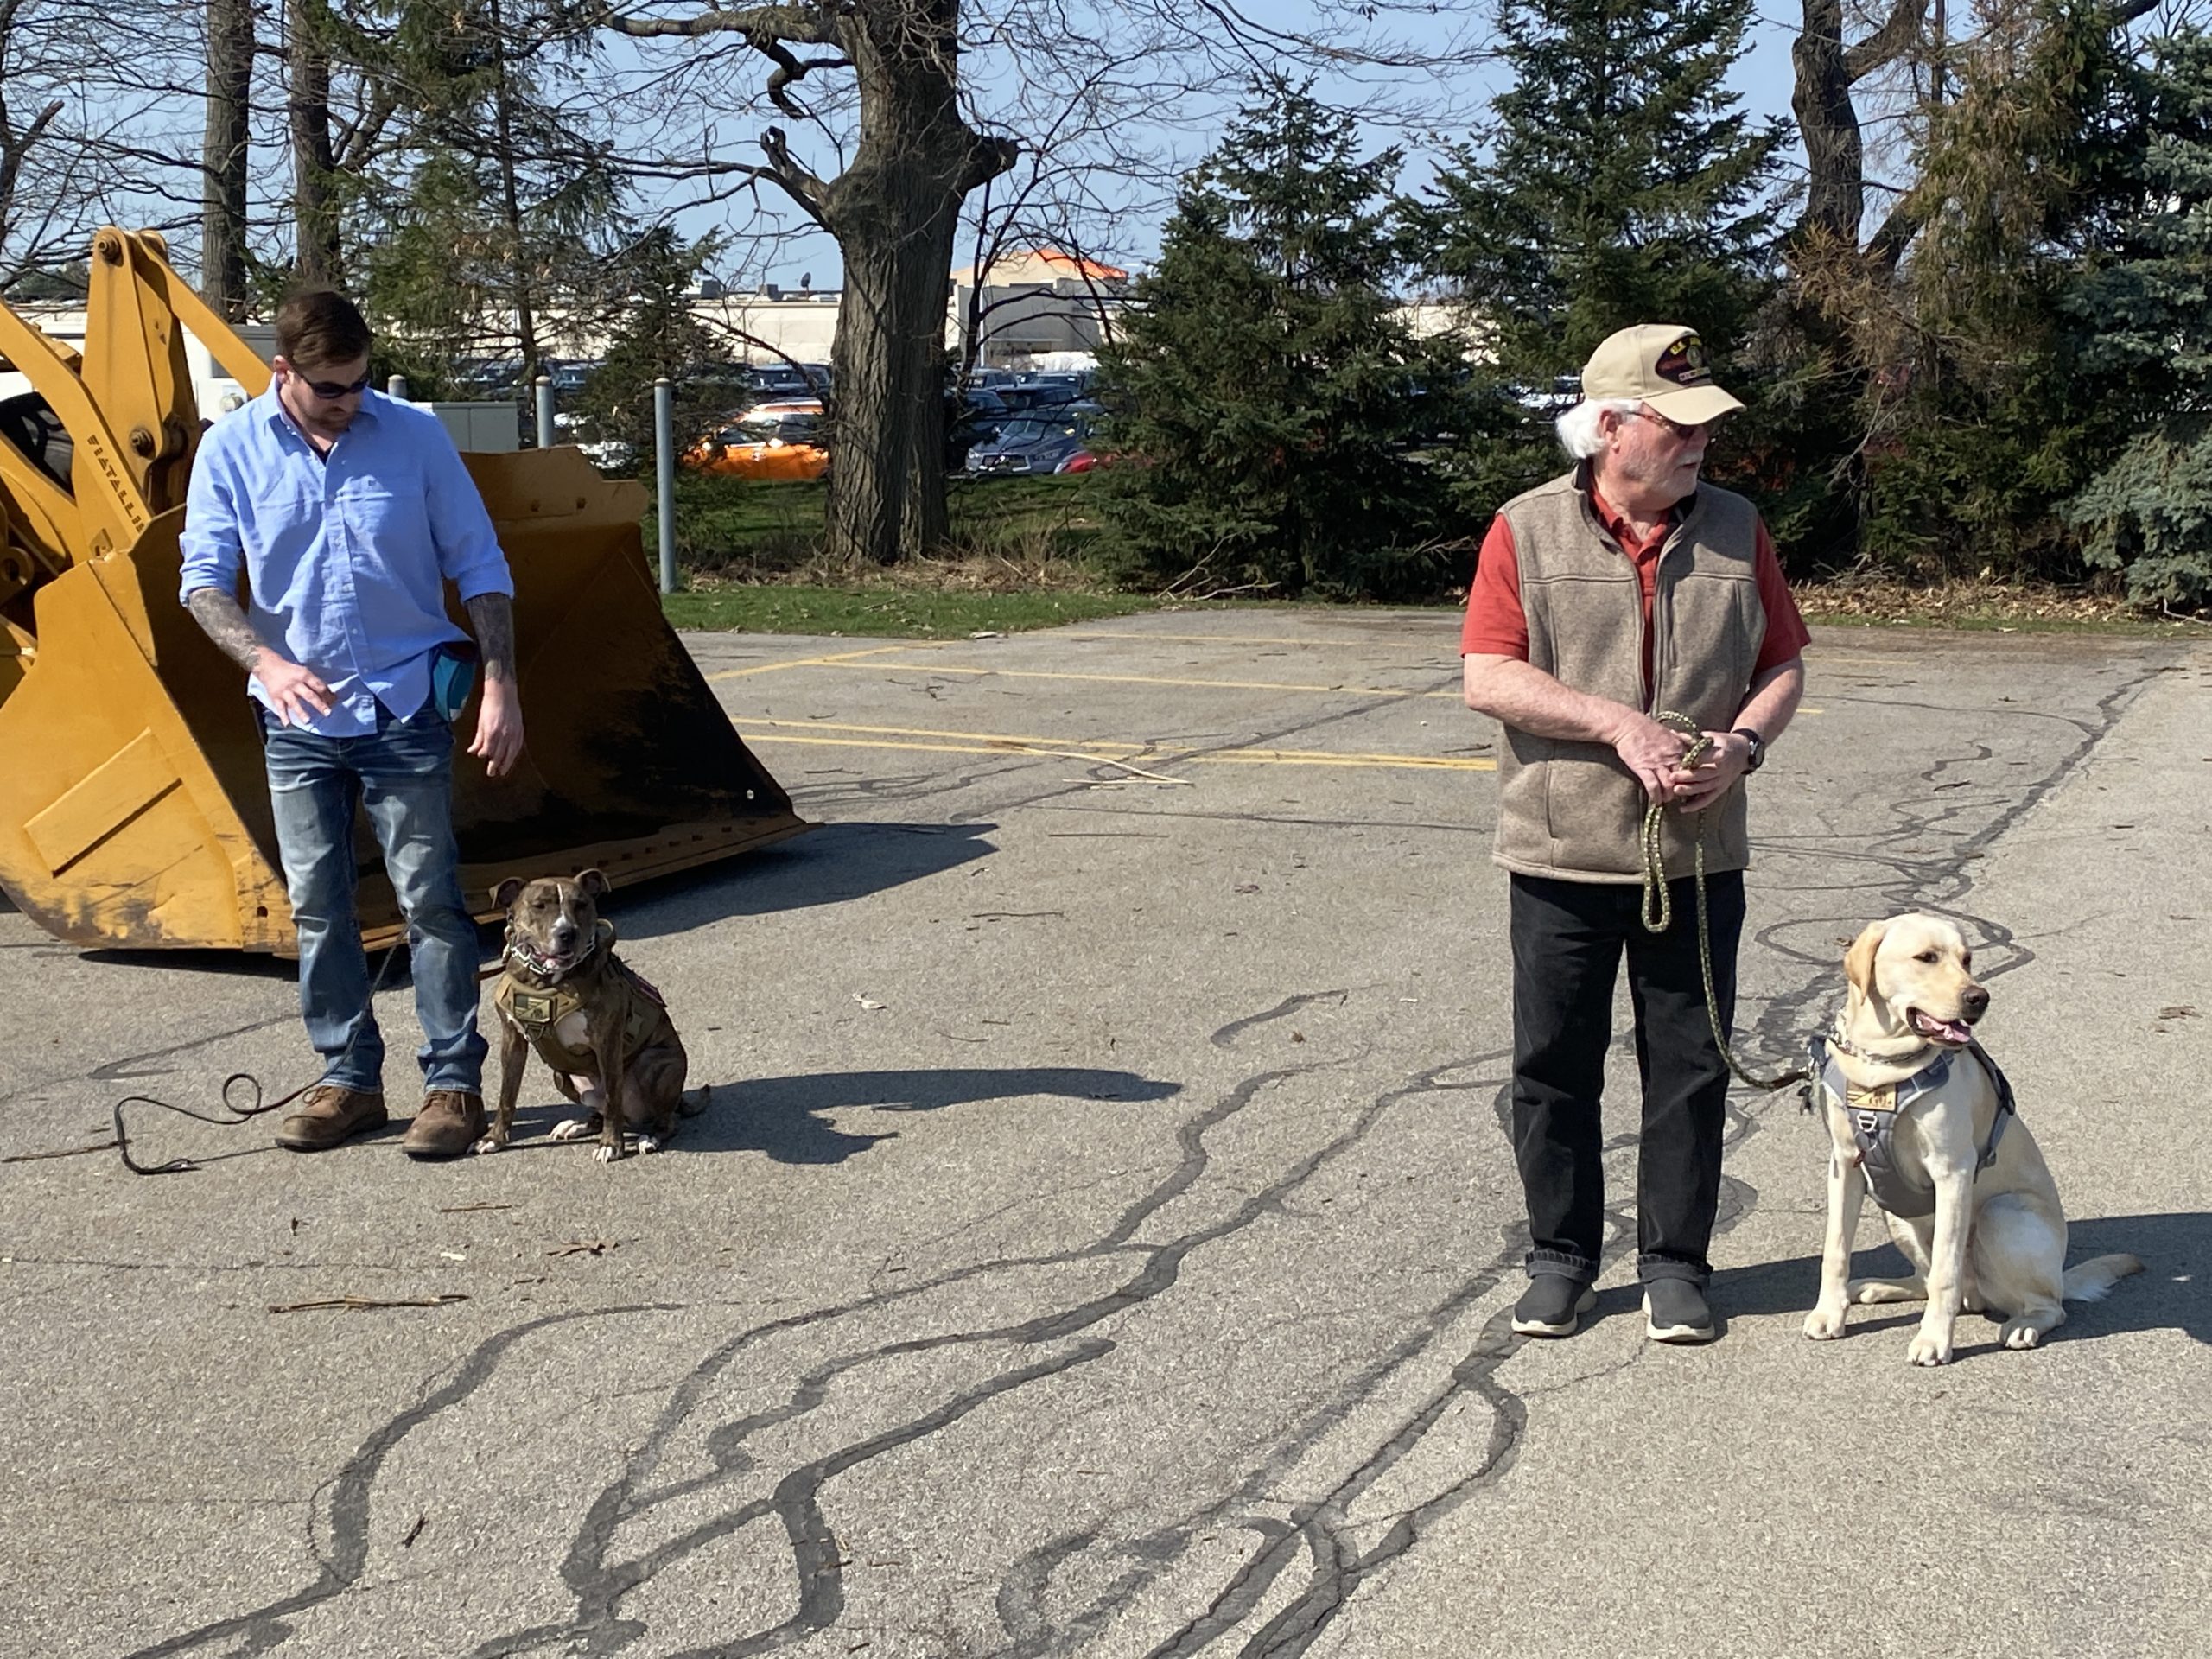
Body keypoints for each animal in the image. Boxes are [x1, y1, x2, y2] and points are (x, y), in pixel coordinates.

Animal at [478, 869, 694, 1163]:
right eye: (539, 905)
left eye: (581, 905)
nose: (567, 933)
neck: (544, 982)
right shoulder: (512, 1040)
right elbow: (506, 1095)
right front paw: (495, 1138)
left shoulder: (607, 1041)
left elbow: (613, 1097)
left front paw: (611, 1145)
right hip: (561, 1076)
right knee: (600, 1112)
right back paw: (579, 1126)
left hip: (654, 1063)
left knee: (663, 1119)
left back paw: (650, 1137)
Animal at [1802, 913, 2140, 1364]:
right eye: (1926, 957)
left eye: (1967, 959)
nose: (1979, 998)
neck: (1884, 1064)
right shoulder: (1844, 1165)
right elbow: (1836, 1250)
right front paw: (1828, 1314)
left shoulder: (1952, 1171)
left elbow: (1945, 1272)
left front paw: (1933, 1340)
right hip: (1898, 1213)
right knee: (1926, 1278)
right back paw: (1880, 1287)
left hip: (2003, 1214)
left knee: (2046, 1305)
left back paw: (2024, 1324)